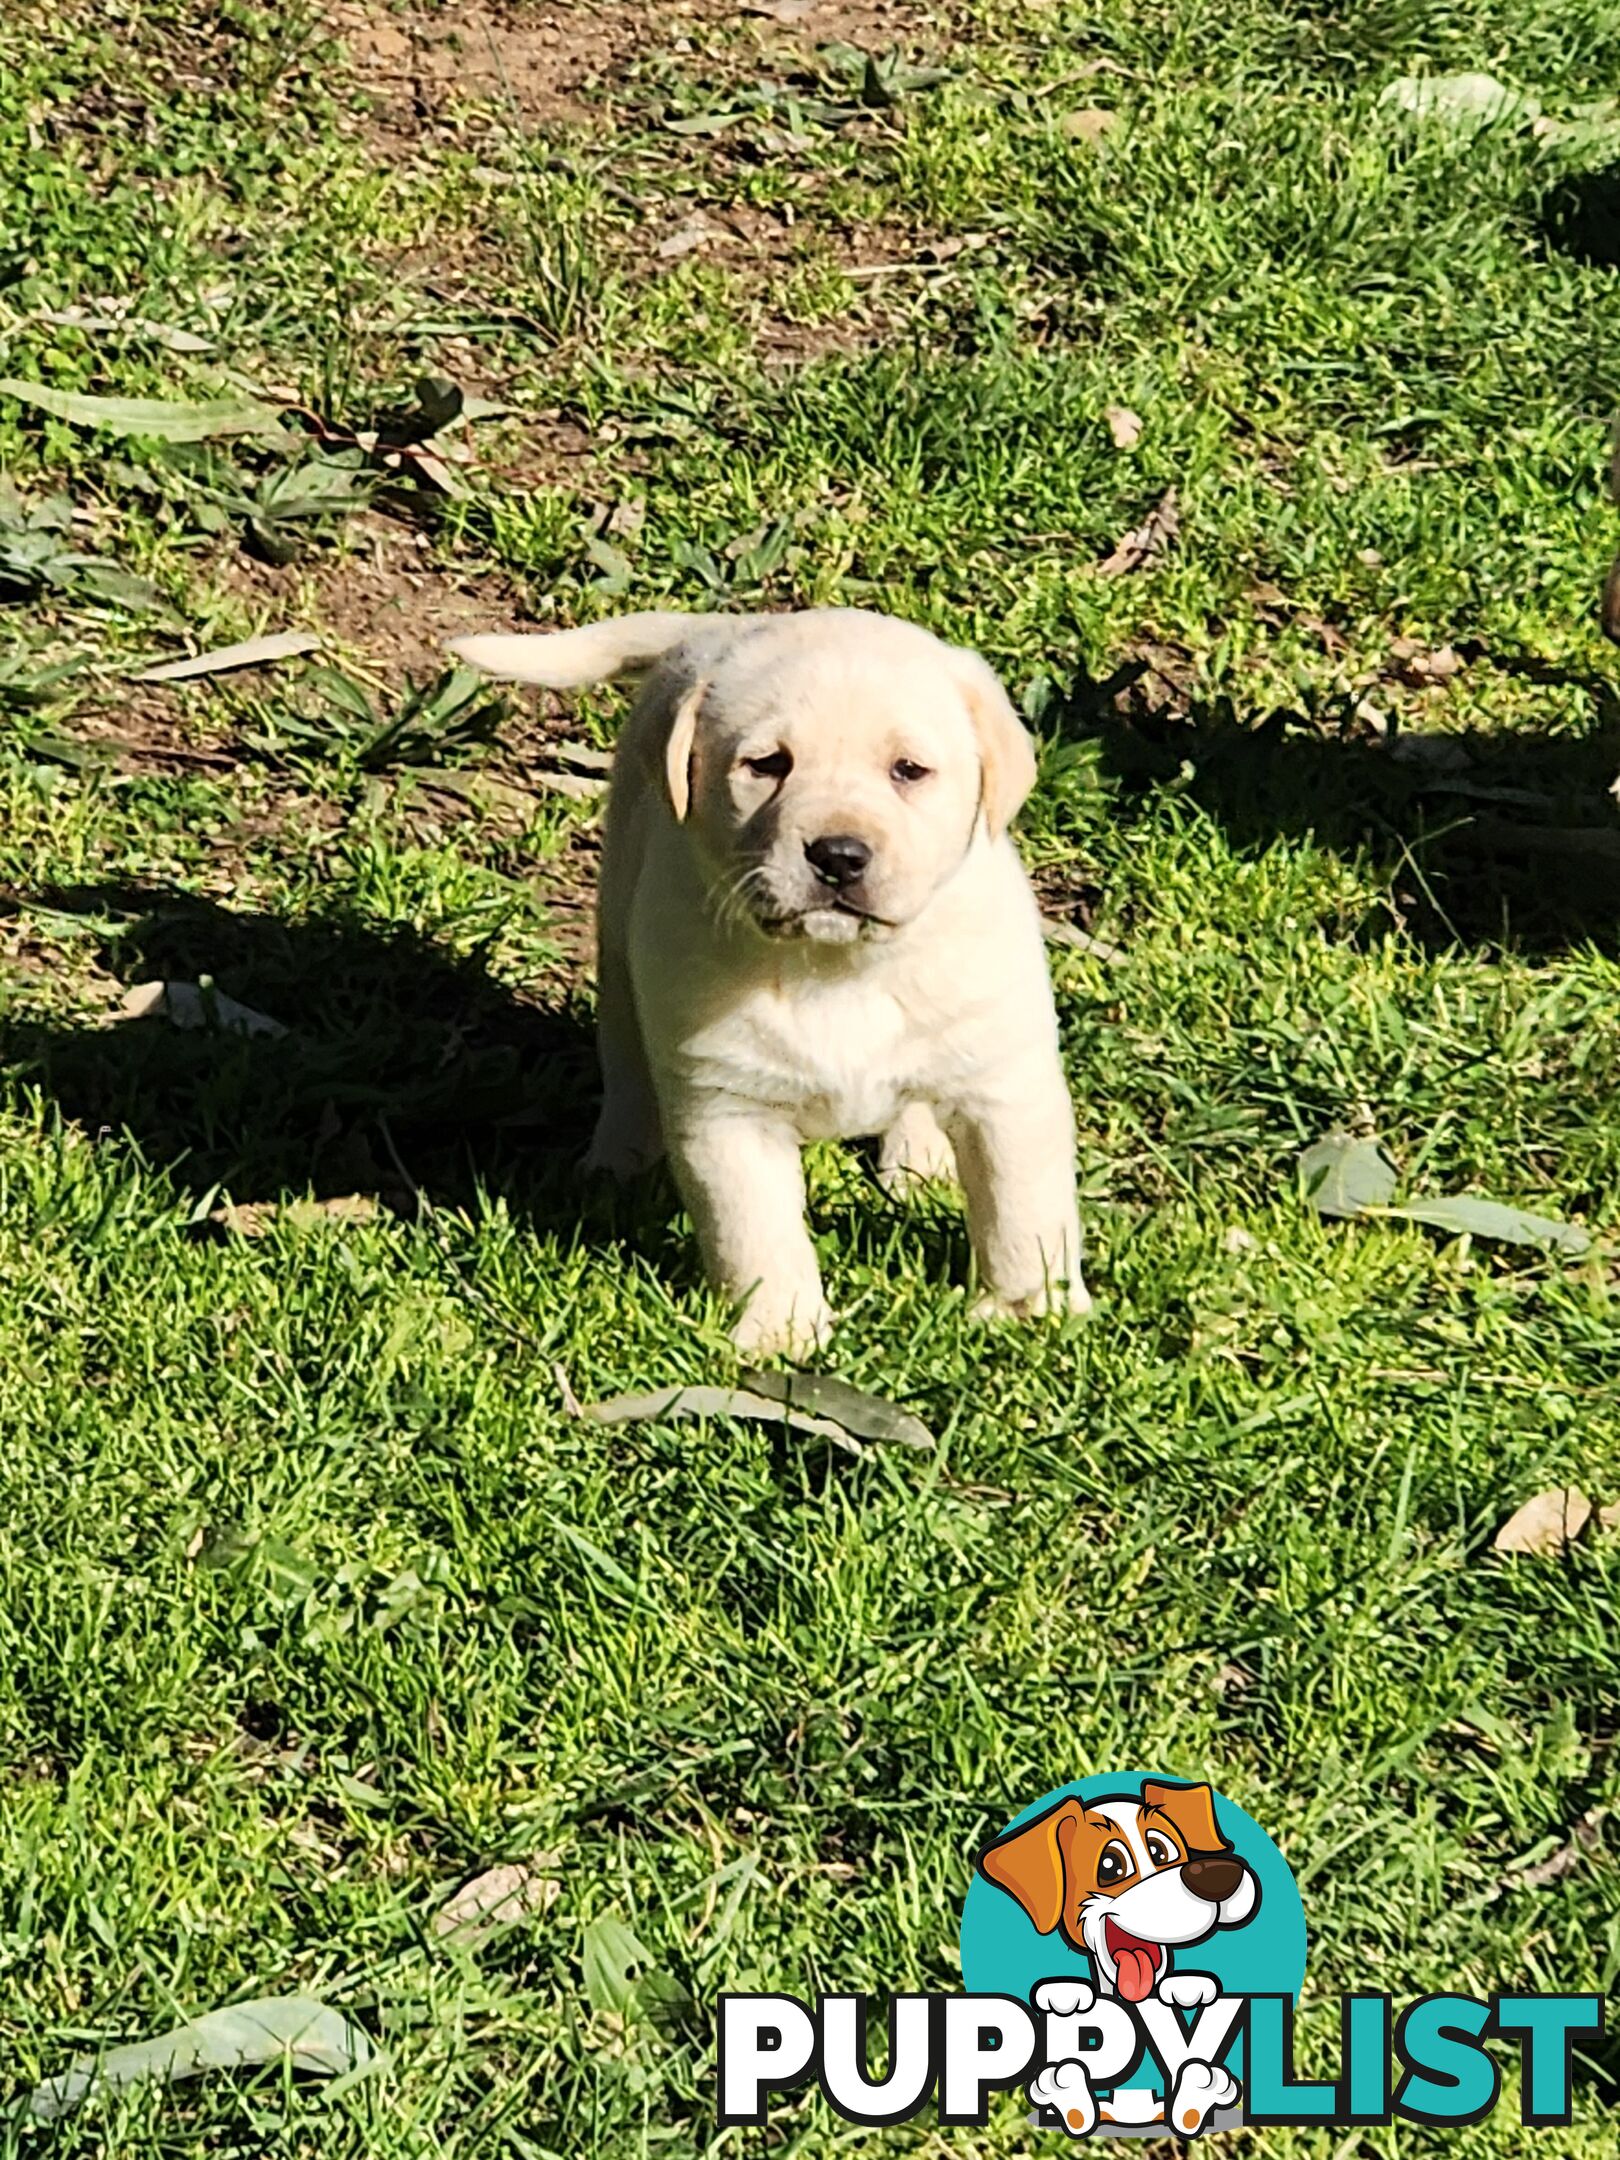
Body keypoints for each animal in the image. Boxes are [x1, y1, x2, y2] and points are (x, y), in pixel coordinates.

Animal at [453, 609, 1092, 1347]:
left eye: (908, 770)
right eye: (767, 765)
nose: (838, 854)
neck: (837, 969)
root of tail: (719, 622)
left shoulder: (1005, 1083)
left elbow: (1022, 1207)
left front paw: (1029, 1311)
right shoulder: (728, 1108)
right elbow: (755, 1231)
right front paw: (781, 1333)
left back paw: (920, 1159)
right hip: (619, 935)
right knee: (627, 1064)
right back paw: (617, 1166)